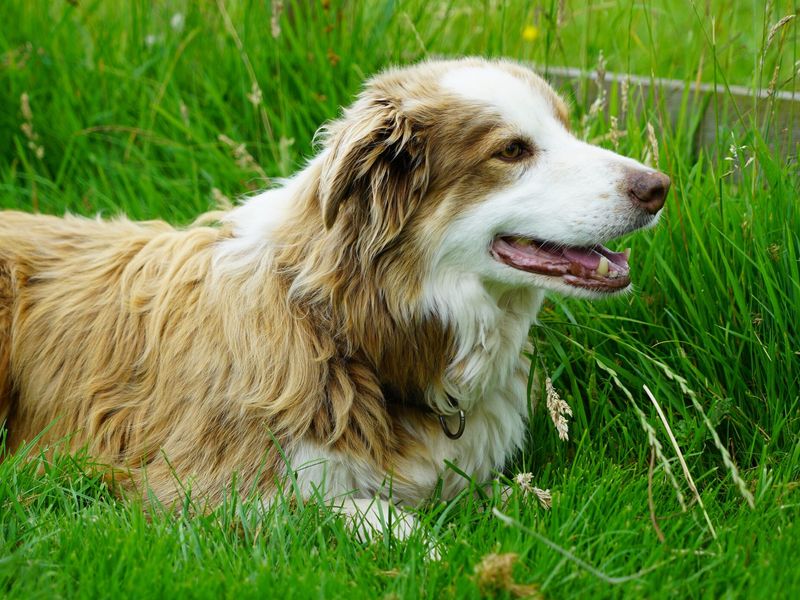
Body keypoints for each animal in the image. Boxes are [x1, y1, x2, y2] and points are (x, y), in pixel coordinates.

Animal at [0, 58, 668, 536]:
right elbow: (366, 513)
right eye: (512, 150)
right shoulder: (187, 487)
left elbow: (523, 496)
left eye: (567, 128)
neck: (352, 334)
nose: (659, 186)